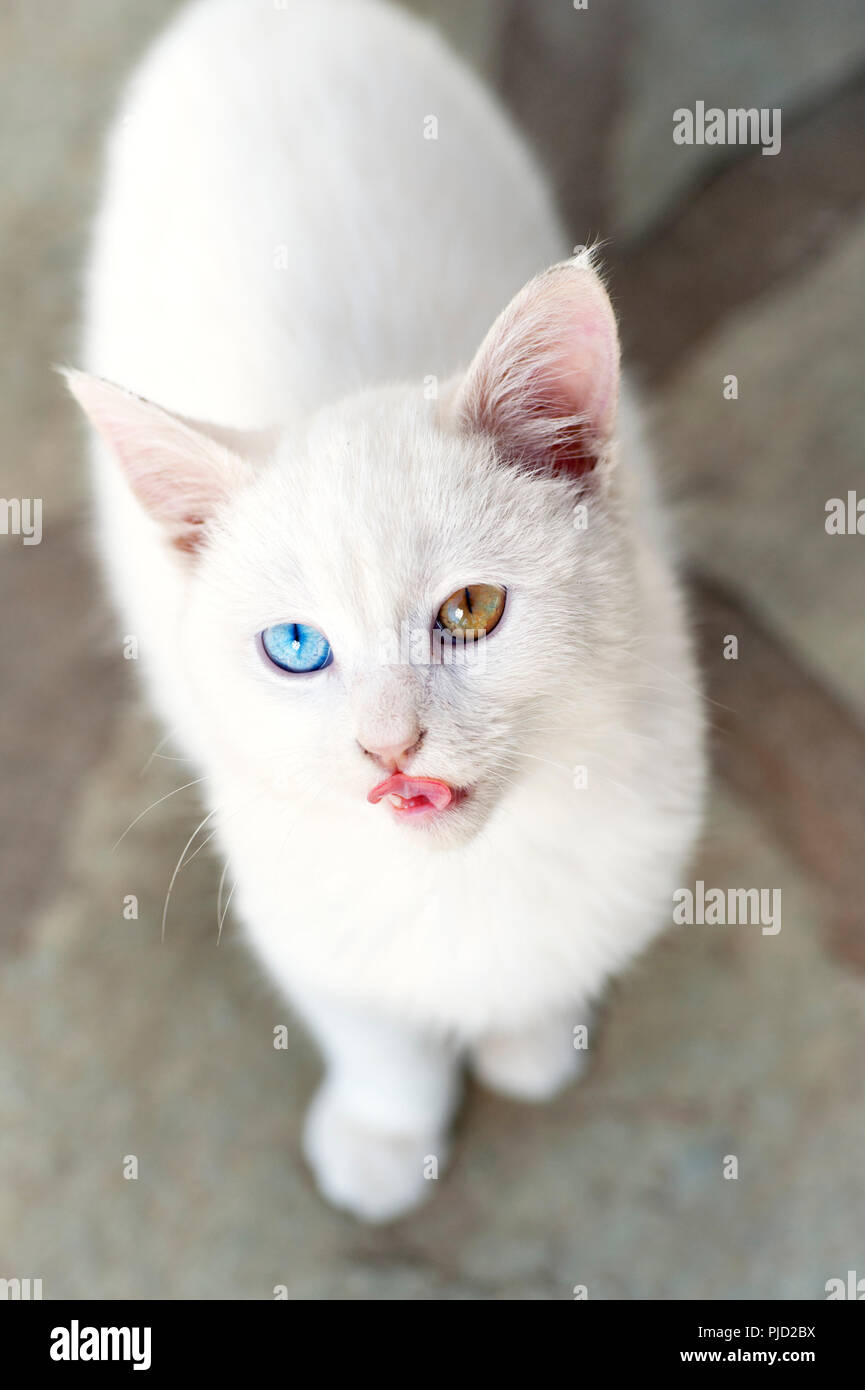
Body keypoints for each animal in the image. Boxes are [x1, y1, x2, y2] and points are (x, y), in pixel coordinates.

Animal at [66, 0, 706, 1217]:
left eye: (471, 608)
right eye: (294, 646)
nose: (386, 745)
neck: (464, 873)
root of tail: (258, 15)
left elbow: (555, 952)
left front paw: (529, 1037)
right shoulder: (283, 869)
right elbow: (369, 1025)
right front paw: (381, 1130)